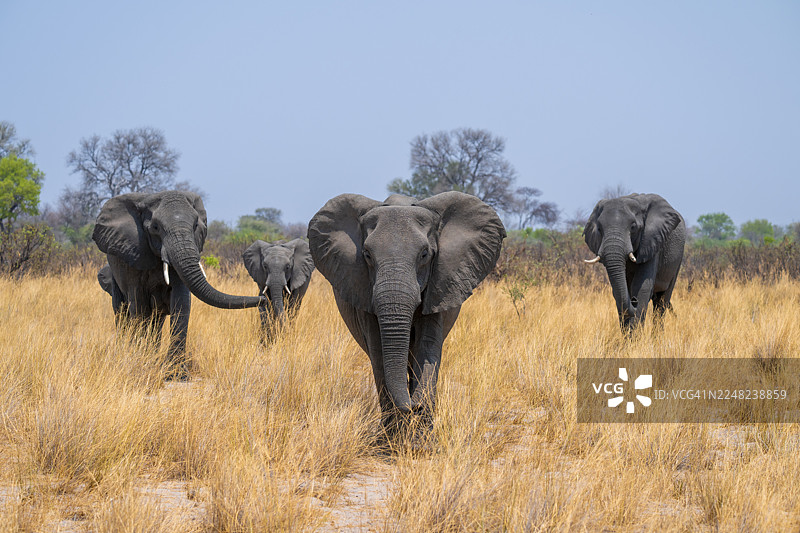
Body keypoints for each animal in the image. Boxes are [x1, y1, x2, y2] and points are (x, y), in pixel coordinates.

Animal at [92, 190, 264, 378]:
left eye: (196, 225)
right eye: (155, 227)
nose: (264, 298)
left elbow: (181, 301)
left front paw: (176, 374)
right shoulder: (134, 253)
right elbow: (139, 306)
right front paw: (140, 362)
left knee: (156, 320)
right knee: (122, 312)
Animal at [308, 191, 506, 432]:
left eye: (424, 254)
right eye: (367, 255)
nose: (414, 406)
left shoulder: (438, 285)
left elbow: (427, 347)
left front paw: (422, 435)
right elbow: (379, 353)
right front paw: (392, 436)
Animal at [583, 193, 686, 330]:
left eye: (633, 227)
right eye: (599, 229)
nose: (634, 300)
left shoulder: (651, 242)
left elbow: (642, 286)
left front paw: (635, 336)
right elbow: (619, 291)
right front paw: (626, 335)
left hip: (677, 259)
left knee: (662, 301)